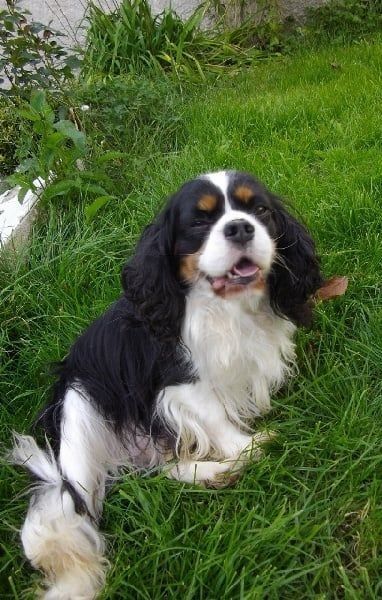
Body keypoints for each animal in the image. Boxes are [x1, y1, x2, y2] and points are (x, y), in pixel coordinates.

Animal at [11, 171, 322, 596]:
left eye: (259, 210)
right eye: (199, 222)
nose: (240, 227)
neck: (222, 305)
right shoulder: (178, 383)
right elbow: (216, 418)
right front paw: (251, 447)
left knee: (155, 472)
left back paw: (213, 474)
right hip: (76, 408)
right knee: (82, 504)